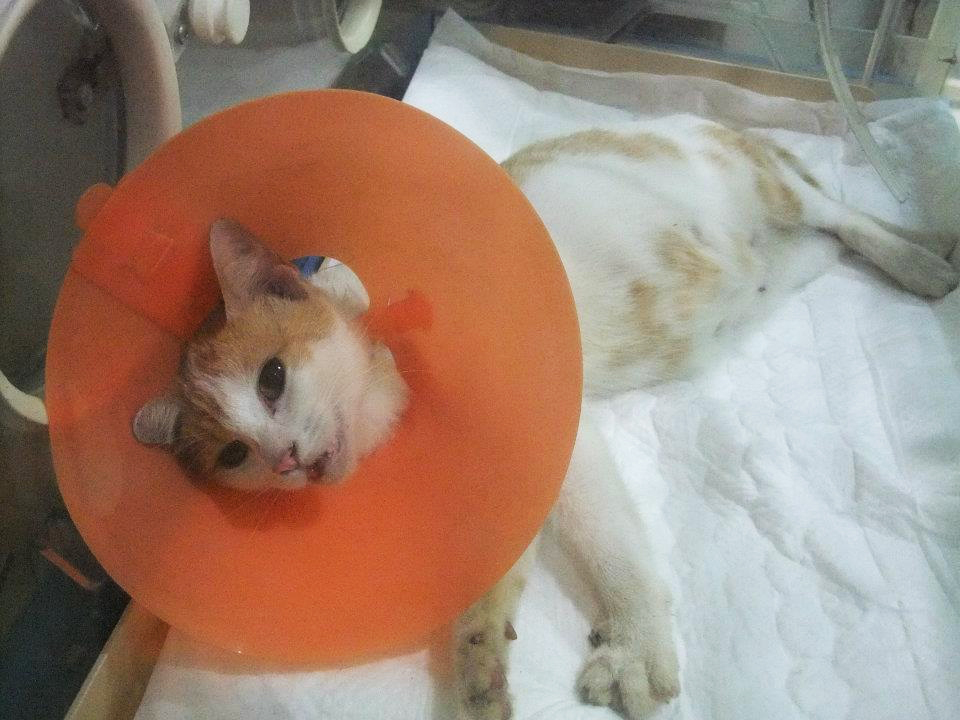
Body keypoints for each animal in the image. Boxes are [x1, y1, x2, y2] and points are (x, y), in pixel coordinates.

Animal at [133, 115, 958, 720]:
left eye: (272, 378)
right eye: (232, 456)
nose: (281, 460)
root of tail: (712, 117)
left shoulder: (560, 425)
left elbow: (606, 537)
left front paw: (635, 644)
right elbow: (494, 563)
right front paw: (478, 663)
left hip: (767, 184)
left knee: (840, 210)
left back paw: (919, 257)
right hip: (787, 263)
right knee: (829, 240)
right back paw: (929, 247)